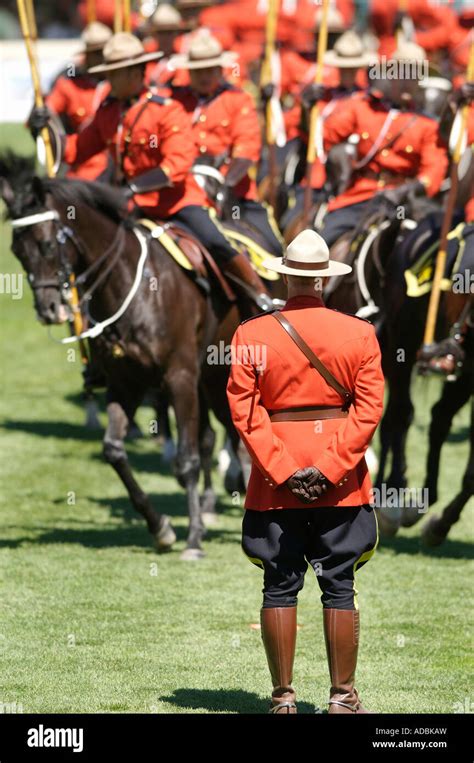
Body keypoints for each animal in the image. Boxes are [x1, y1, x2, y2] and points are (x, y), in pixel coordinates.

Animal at [0, 155, 241, 560]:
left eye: (47, 245)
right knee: (209, 436)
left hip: (217, 372)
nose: (49, 310)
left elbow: (187, 461)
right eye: (17, 251)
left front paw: (193, 537)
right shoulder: (126, 384)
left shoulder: (178, 377)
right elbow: (113, 451)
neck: (132, 286)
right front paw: (160, 527)